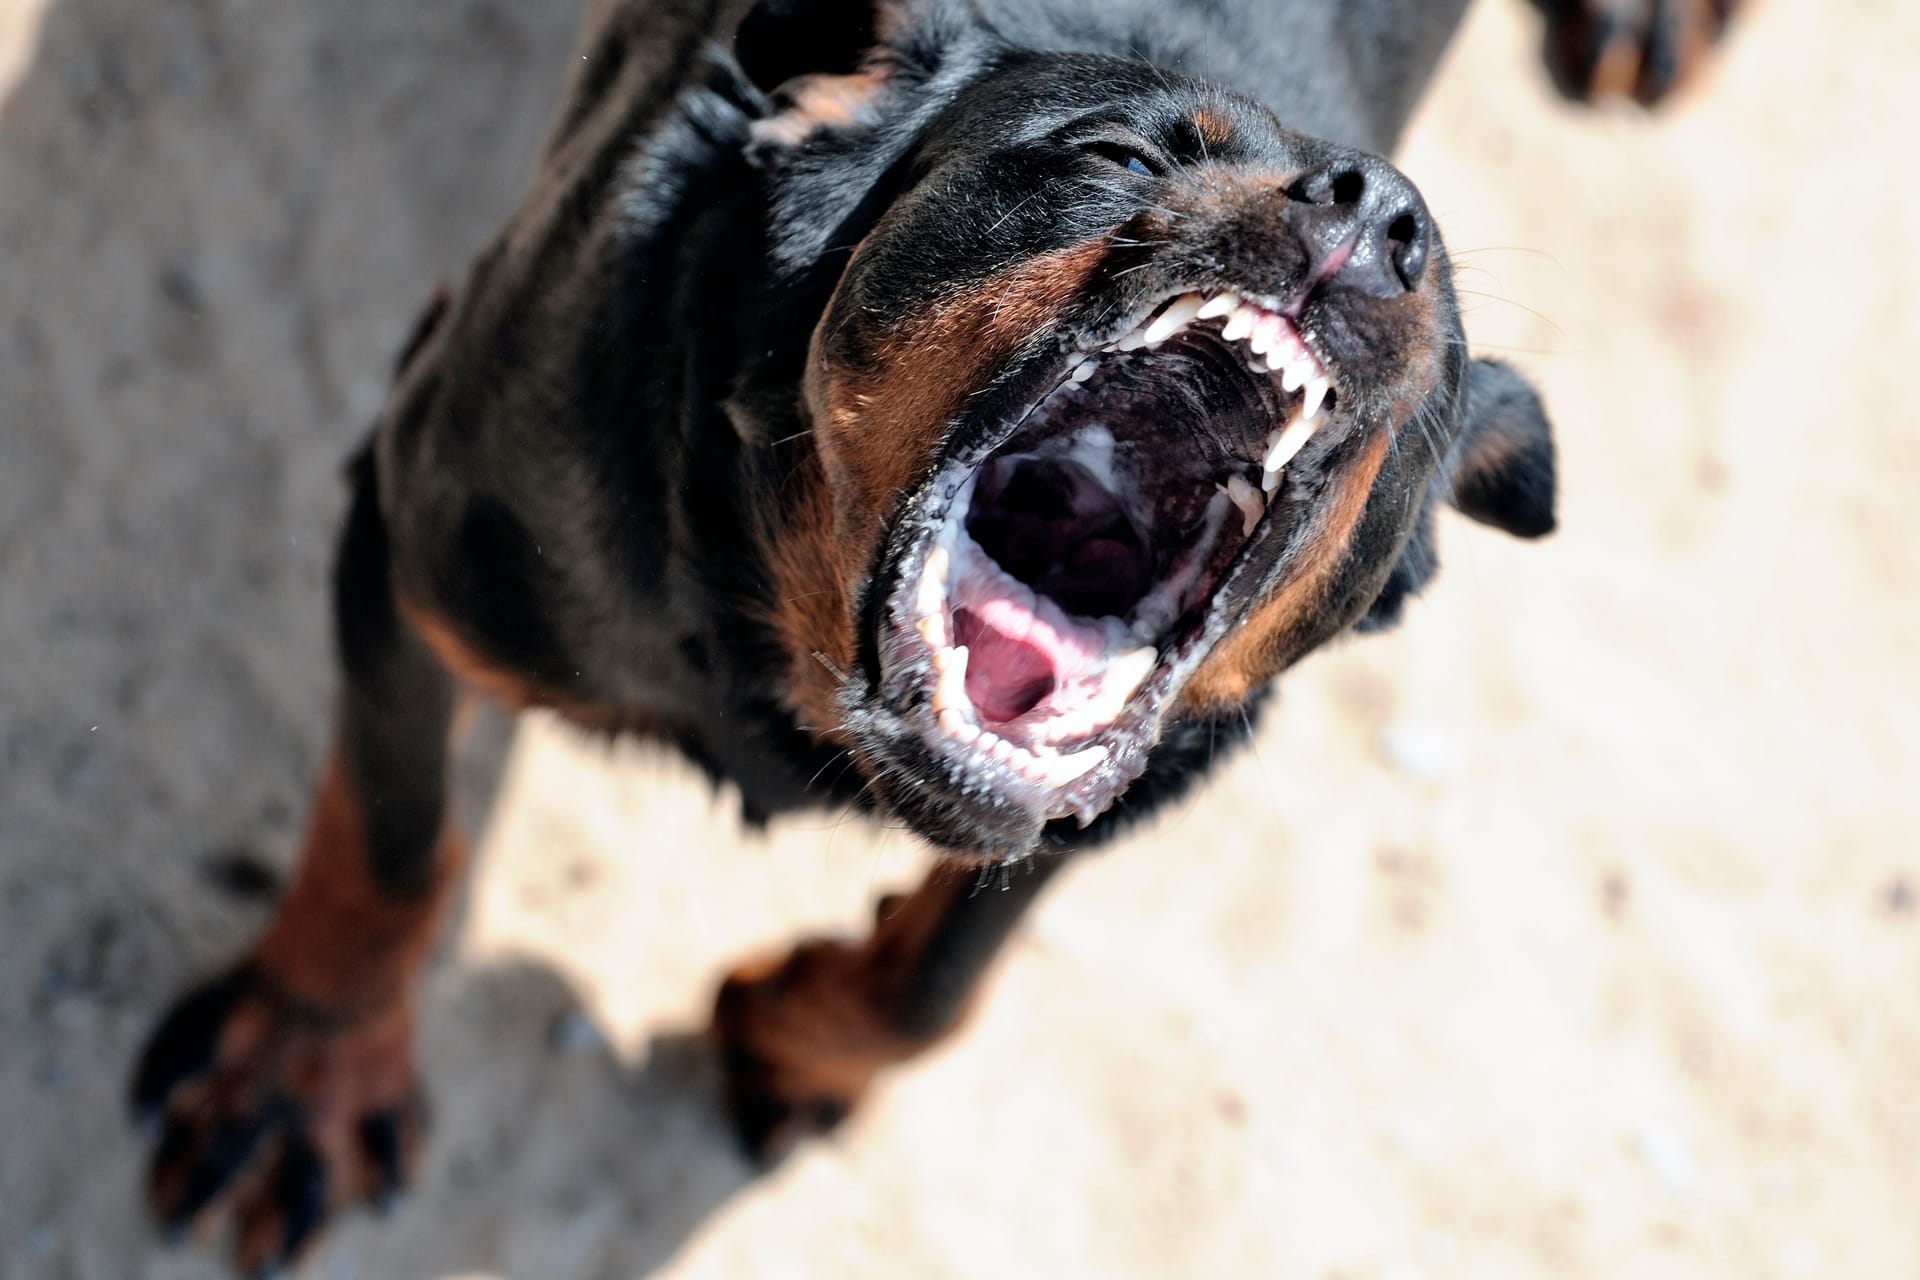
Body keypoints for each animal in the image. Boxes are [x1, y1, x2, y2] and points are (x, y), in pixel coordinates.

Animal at [123, 0, 1743, 1266]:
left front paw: (805, 1034)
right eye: (1117, 154)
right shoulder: (421, 534)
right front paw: (301, 1078)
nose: (1374, 209)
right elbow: (393, 841)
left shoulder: (1137, 780)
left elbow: (939, 981)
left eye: (1450, 346)